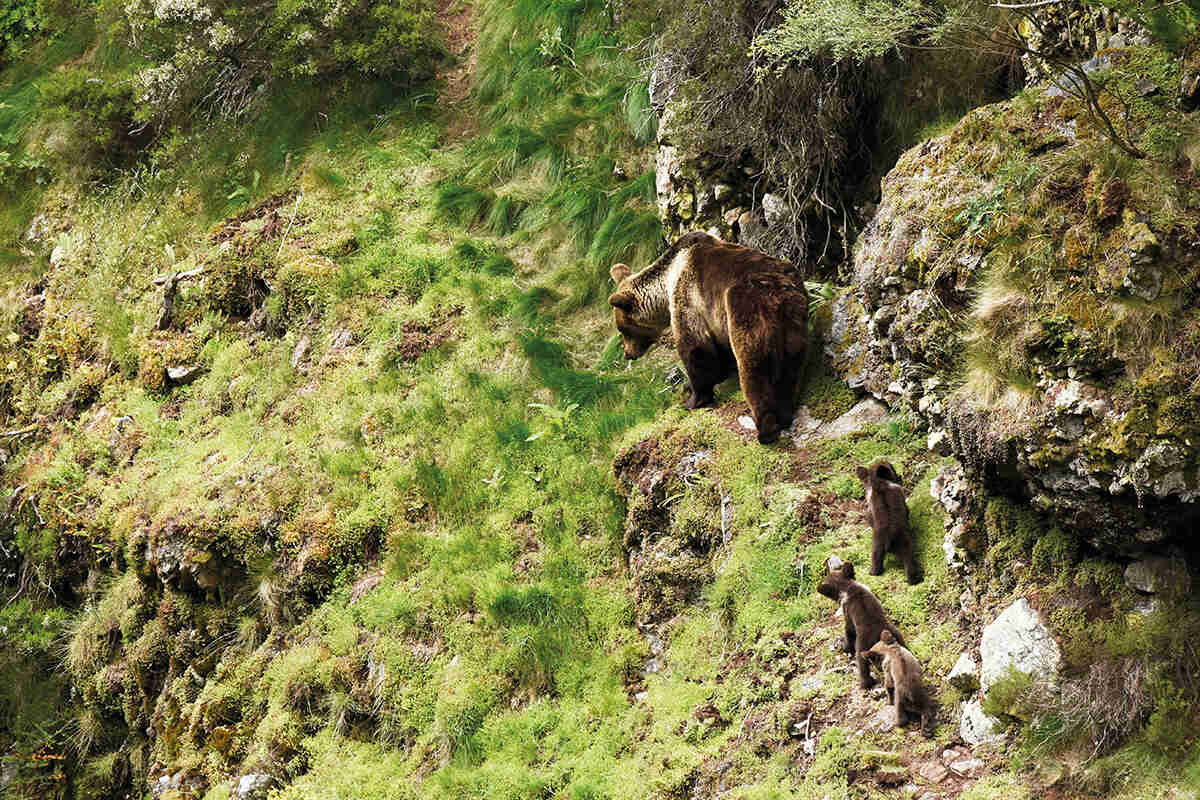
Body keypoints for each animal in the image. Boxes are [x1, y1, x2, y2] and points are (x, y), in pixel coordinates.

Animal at [609, 231, 806, 443]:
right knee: (789, 367)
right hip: (793, 322)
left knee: (754, 368)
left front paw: (693, 399)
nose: (627, 354)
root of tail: (778, 290)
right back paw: (784, 413)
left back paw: (765, 428)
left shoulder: (688, 299)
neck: (666, 281)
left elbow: (695, 349)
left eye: (622, 330)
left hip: (746, 313)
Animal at [820, 556, 902, 690]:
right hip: (893, 631)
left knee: (862, 664)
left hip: (862, 644)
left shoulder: (848, 613)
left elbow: (848, 631)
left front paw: (845, 647)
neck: (847, 587)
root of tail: (879, 635)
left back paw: (864, 683)